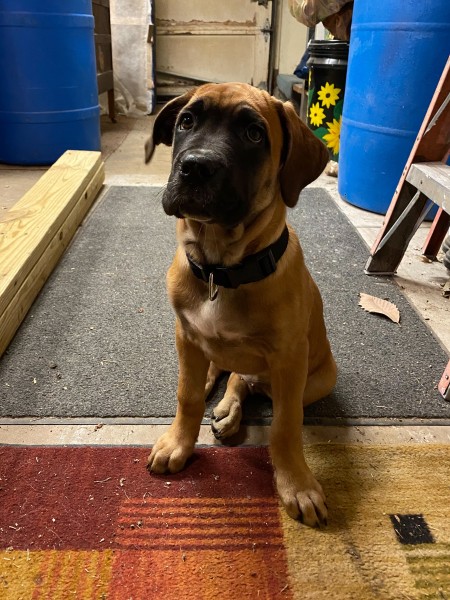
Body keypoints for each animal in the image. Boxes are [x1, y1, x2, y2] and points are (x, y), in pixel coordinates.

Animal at [146, 83, 336, 524]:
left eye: (254, 134)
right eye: (186, 121)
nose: (195, 167)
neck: (222, 269)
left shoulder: (289, 358)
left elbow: (286, 424)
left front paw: (296, 484)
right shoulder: (185, 335)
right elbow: (187, 395)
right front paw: (178, 443)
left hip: (320, 379)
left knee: (248, 381)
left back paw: (231, 412)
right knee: (225, 373)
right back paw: (221, 401)